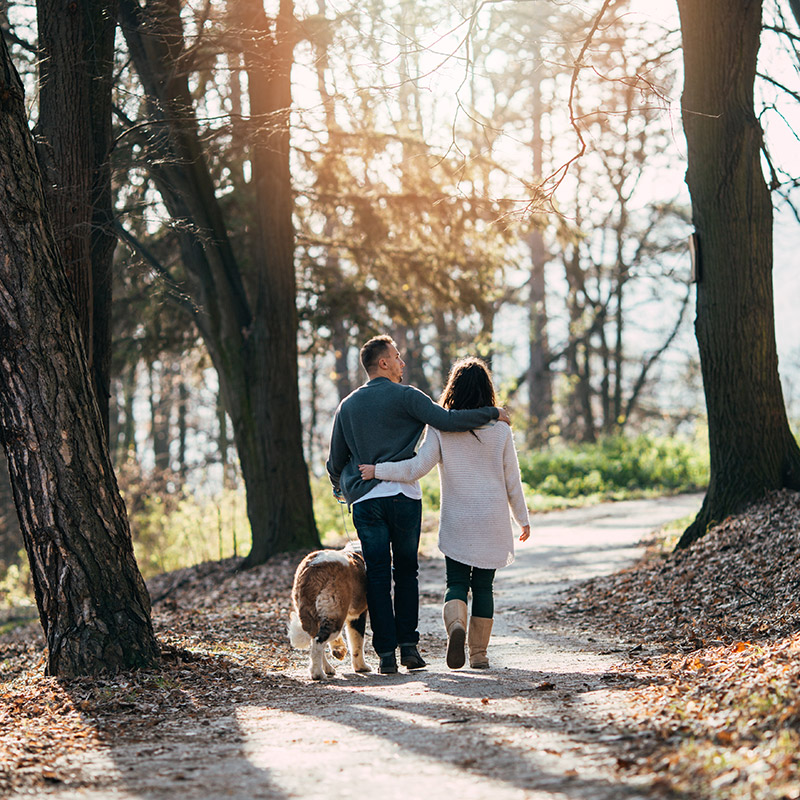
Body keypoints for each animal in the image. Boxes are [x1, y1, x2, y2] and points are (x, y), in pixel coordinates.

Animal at [288, 540, 372, 680]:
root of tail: (312, 568)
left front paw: (339, 649)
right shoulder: (358, 615)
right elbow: (358, 642)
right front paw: (361, 667)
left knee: (315, 639)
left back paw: (327, 668)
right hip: (336, 614)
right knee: (318, 642)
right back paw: (317, 673)